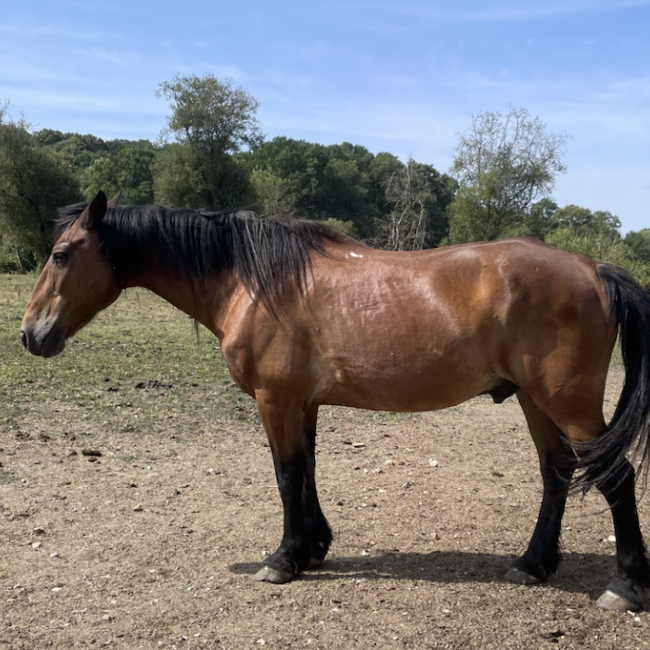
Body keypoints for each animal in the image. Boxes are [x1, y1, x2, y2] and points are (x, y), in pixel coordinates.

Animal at [21, 190, 650, 611]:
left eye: (62, 253)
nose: (30, 334)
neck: (255, 283)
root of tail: (593, 268)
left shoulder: (274, 400)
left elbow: (285, 476)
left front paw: (283, 559)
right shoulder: (304, 403)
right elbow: (308, 471)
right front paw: (314, 547)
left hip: (568, 404)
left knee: (614, 477)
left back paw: (625, 586)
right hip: (534, 401)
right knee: (555, 472)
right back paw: (533, 564)